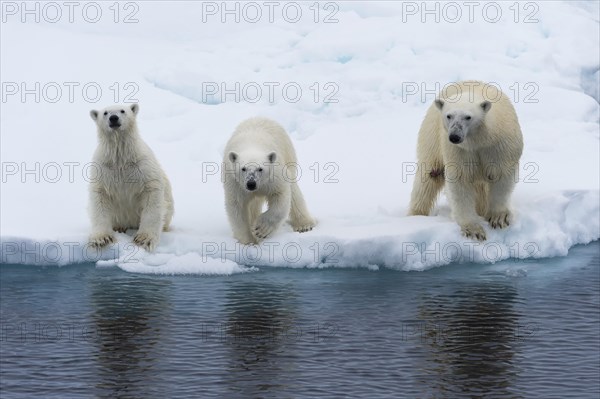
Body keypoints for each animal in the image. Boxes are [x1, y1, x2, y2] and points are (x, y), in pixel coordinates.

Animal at [88, 104, 175, 252]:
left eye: (123, 110)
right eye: (105, 113)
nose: (114, 118)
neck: (121, 158)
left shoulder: (142, 166)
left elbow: (152, 194)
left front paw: (144, 239)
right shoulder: (103, 169)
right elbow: (100, 198)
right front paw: (102, 239)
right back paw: (119, 227)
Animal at [223, 117, 316, 245]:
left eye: (260, 168)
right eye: (243, 168)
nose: (251, 184)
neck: (252, 144)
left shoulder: (274, 176)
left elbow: (280, 196)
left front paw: (261, 229)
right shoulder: (235, 182)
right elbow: (237, 206)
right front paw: (248, 241)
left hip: (288, 154)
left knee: (294, 192)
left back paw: (304, 225)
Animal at [410, 79, 524, 239]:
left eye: (468, 117)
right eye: (449, 116)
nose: (454, 136)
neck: (480, 140)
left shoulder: (500, 146)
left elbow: (501, 176)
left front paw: (498, 218)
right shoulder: (459, 151)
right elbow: (460, 182)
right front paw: (474, 230)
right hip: (432, 136)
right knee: (429, 177)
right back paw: (416, 215)